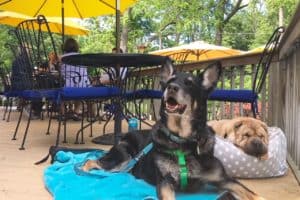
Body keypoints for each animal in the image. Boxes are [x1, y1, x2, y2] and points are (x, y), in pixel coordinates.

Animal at [82, 59, 264, 200]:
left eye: (190, 83)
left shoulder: (225, 179)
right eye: (170, 81)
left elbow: (254, 194)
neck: (183, 140)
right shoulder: (165, 183)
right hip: (122, 157)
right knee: (91, 161)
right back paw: (83, 171)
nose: (172, 88)